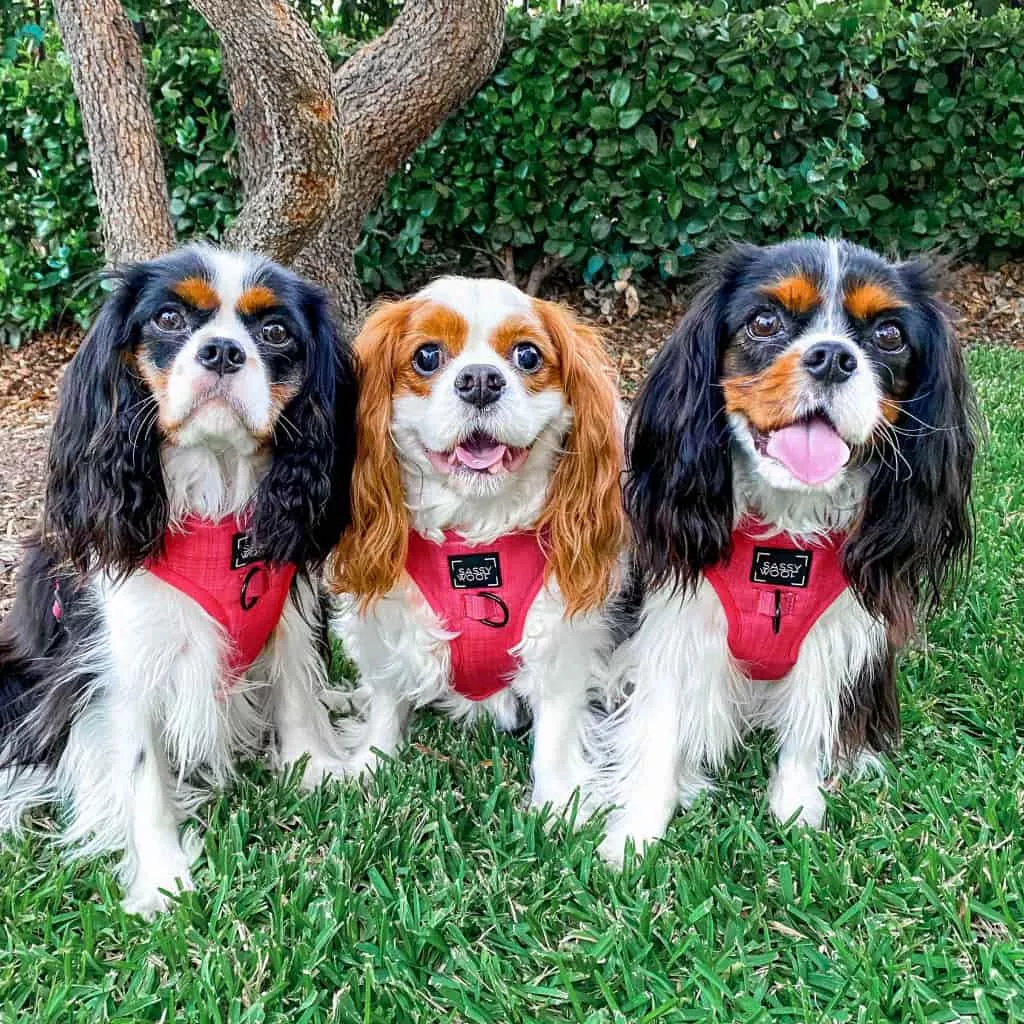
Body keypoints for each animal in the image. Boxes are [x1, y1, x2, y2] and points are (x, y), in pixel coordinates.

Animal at [0, 243, 358, 917]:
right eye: (168, 319)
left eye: (275, 332)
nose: (221, 351)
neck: (214, 497)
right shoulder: (120, 658)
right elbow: (143, 772)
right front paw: (162, 877)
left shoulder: (287, 604)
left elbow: (297, 686)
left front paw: (317, 768)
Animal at [327, 276, 622, 811]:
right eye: (427, 356)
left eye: (527, 355)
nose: (481, 380)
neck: (473, 533)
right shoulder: (392, 622)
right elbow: (385, 700)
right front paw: (368, 769)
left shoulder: (559, 641)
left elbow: (556, 728)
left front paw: (556, 806)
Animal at [598, 235, 978, 860]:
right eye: (764, 322)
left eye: (889, 335)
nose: (832, 357)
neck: (784, 527)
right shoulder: (676, 629)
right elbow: (658, 729)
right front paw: (636, 835)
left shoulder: (835, 638)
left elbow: (807, 726)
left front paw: (796, 808)